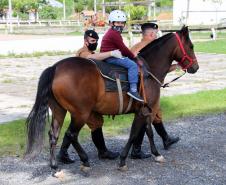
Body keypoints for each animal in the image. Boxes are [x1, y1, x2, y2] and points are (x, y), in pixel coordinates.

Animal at [24, 26, 198, 171]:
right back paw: (84, 161)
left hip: (59, 111)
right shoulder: (143, 111)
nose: (195, 67)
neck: (149, 70)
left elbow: (148, 131)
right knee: (70, 135)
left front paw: (155, 153)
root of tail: (55, 68)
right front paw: (123, 160)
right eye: (191, 46)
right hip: (80, 113)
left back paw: (55, 164)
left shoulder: (146, 110)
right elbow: (134, 134)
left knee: (54, 135)